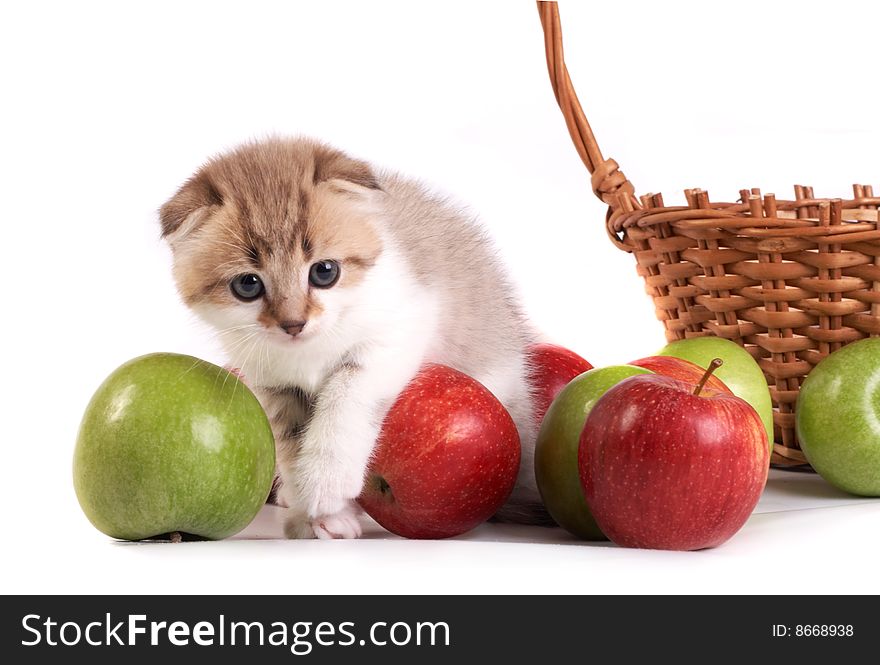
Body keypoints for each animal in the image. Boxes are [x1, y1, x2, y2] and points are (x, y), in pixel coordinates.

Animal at [158, 137, 544, 536]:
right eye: (247, 285)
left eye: (324, 271)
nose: (293, 324)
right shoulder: (271, 381)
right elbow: (290, 440)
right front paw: (312, 513)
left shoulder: (398, 330)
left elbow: (346, 395)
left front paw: (325, 480)